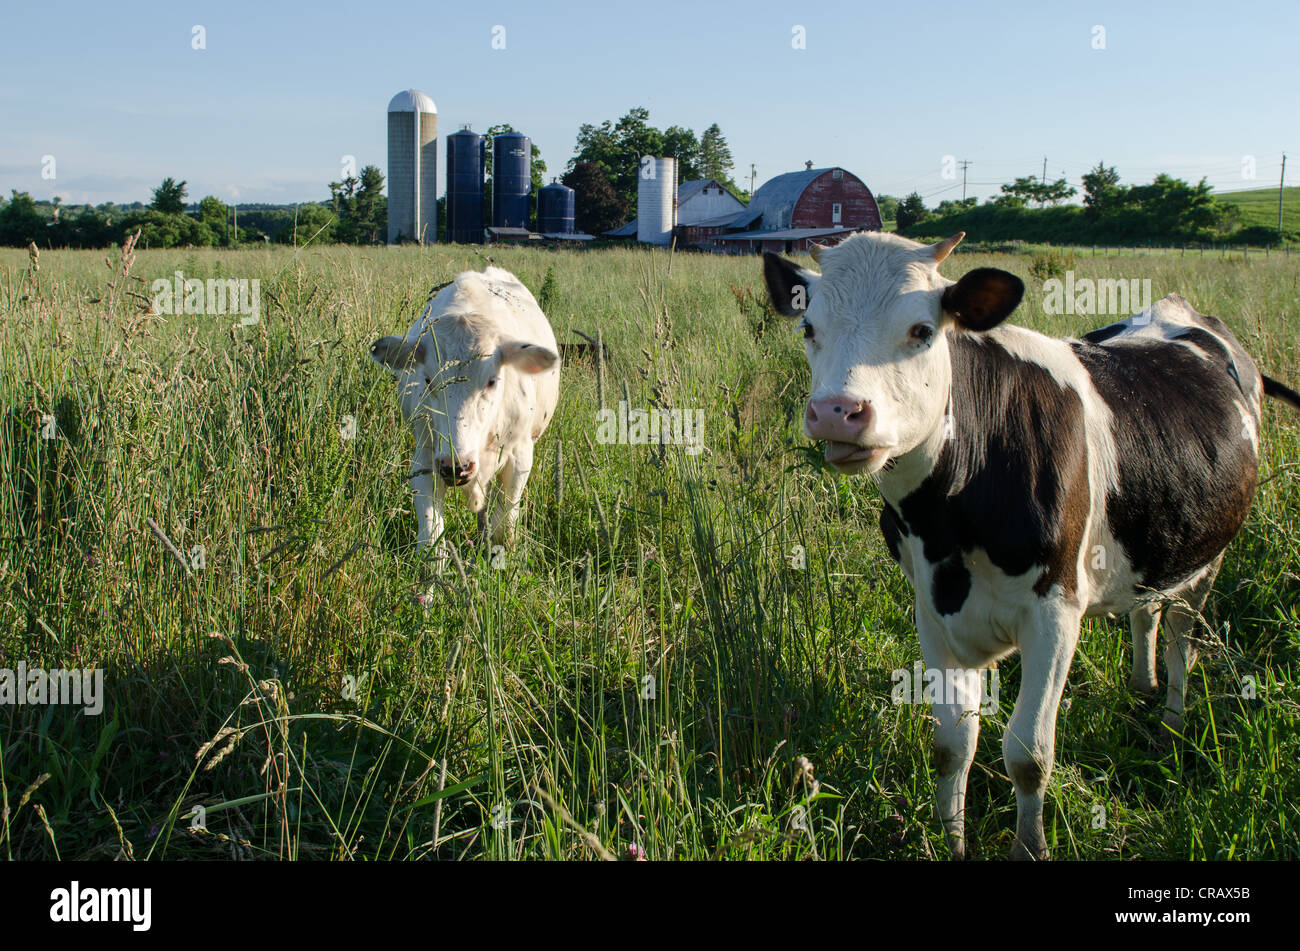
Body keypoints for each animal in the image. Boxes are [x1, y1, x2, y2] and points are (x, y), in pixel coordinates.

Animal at [371, 266, 560, 566]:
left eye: (492, 381)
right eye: (427, 379)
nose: (457, 465)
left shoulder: (520, 456)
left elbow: (504, 527)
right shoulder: (425, 456)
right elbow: (431, 536)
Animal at [763, 231, 1300, 860]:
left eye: (922, 330)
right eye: (809, 327)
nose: (837, 413)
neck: (947, 525)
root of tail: (1179, 310)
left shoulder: (1056, 611)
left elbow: (1028, 755)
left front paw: (1030, 846)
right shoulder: (930, 610)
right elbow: (952, 743)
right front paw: (950, 840)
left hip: (1207, 557)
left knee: (1181, 638)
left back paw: (1170, 722)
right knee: (1145, 612)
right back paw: (1140, 687)